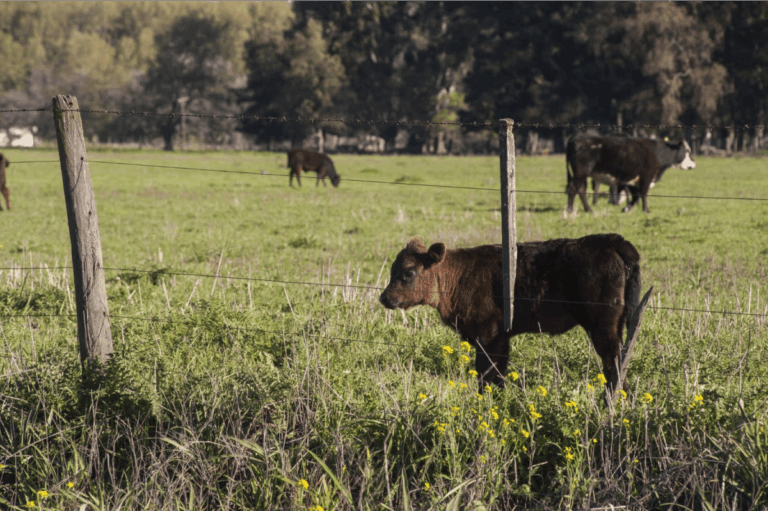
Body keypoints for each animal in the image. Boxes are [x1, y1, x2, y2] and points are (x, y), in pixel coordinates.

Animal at [379, 233, 641, 395]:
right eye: (392, 269)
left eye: (409, 273)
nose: (384, 298)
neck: (459, 276)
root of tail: (610, 240)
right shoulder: (500, 338)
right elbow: (498, 374)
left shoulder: (488, 335)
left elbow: (486, 372)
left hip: (603, 327)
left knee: (613, 362)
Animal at [566, 135, 696, 213]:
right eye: (687, 151)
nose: (694, 164)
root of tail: (576, 138)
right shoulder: (646, 176)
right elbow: (643, 193)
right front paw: (646, 210)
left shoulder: (634, 180)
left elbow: (636, 195)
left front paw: (627, 208)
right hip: (581, 174)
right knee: (573, 189)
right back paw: (570, 210)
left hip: (582, 176)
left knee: (581, 190)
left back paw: (588, 209)